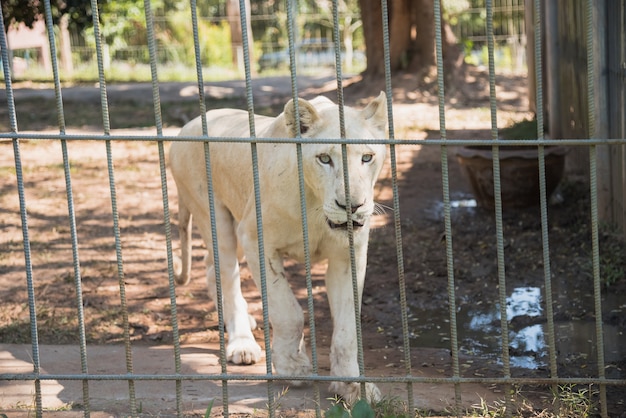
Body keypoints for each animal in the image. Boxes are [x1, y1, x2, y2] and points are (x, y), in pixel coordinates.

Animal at [168, 92, 388, 402]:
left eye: (367, 157)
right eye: (324, 159)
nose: (352, 206)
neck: (315, 208)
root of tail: (187, 126)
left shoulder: (349, 256)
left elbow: (347, 327)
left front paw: (353, 386)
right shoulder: (256, 239)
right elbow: (287, 310)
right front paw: (293, 367)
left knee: (212, 270)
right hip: (217, 220)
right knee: (227, 277)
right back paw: (242, 343)